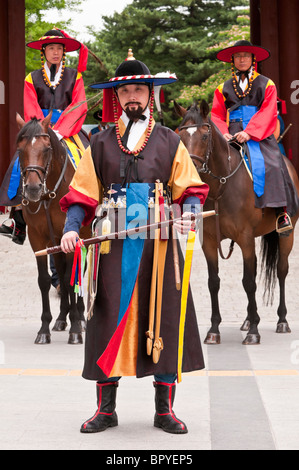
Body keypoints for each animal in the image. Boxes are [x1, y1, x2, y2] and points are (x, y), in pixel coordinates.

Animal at [15, 112, 90, 344]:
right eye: (20, 150)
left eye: (46, 149)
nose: (32, 189)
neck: (49, 195)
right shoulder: (37, 238)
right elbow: (44, 280)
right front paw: (44, 328)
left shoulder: (72, 234)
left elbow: (69, 279)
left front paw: (76, 328)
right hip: (55, 241)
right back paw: (61, 318)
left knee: (77, 273)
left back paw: (80, 317)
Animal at [176, 99, 299, 344]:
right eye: (181, 137)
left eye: (204, 136)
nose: (190, 172)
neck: (220, 188)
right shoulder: (209, 241)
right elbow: (214, 282)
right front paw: (214, 330)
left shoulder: (245, 238)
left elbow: (249, 282)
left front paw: (254, 333)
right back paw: (249, 320)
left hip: (286, 235)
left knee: (281, 271)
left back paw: (281, 321)